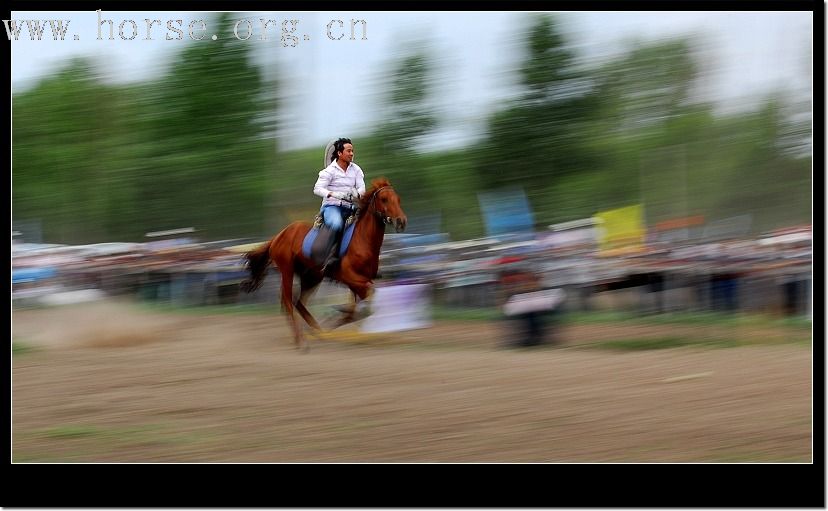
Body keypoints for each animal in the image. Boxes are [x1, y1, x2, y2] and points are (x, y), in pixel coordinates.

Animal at [239, 178, 408, 350]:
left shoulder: (360, 281)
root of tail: (278, 236)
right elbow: (368, 297)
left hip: (312, 277)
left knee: (298, 302)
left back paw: (317, 331)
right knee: (288, 301)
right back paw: (301, 340)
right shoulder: (350, 277)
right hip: (287, 270)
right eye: (384, 199)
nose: (401, 221)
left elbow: (358, 307)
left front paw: (336, 317)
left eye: (398, 199)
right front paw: (335, 316)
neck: (362, 240)